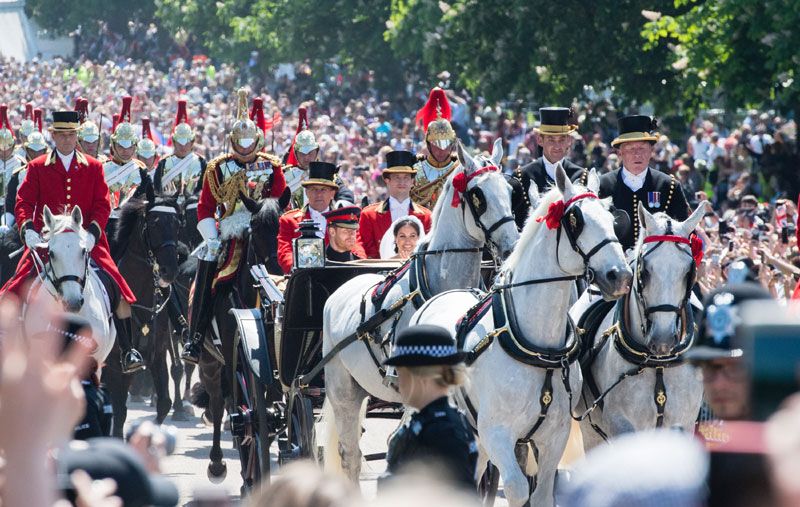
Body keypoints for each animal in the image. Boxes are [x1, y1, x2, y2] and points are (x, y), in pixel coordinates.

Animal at [102, 194, 184, 436]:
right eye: (154, 224)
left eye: (177, 224)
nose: (170, 270)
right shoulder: (114, 365)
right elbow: (119, 412)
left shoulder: (157, 355)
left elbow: (164, 403)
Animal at [412, 167, 632, 507]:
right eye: (576, 220)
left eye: (611, 219)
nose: (619, 276)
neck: (537, 345)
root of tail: (444, 295)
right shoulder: (496, 432)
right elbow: (517, 488)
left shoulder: (554, 436)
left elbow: (542, 493)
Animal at [568, 200, 708, 450]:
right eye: (645, 270)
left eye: (688, 272)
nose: (663, 340)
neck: (658, 364)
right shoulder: (621, 425)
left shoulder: (682, 423)